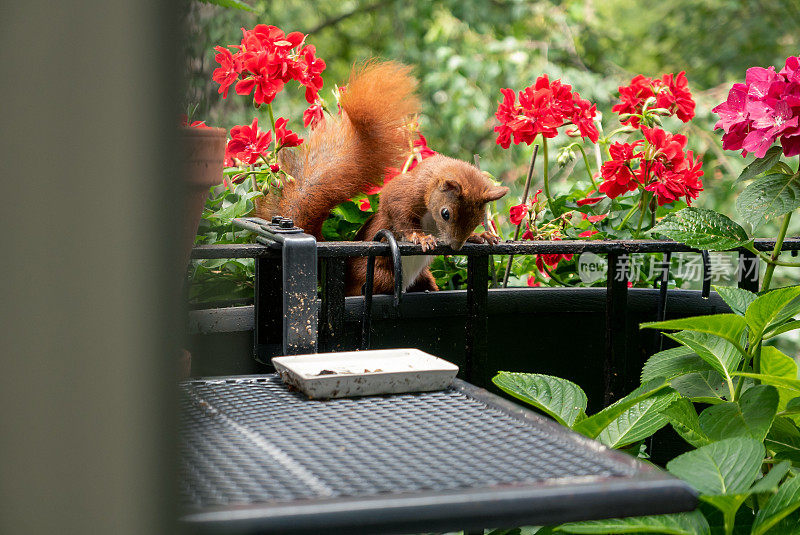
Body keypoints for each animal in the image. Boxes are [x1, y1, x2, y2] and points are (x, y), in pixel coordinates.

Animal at [256, 62, 506, 298]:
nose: (455, 246)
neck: (429, 182)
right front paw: (419, 237)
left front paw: (481, 236)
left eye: (479, 218)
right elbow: (399, 212)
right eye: (446, 213)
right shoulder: (405, 192)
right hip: (380, 275)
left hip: (422, 277)